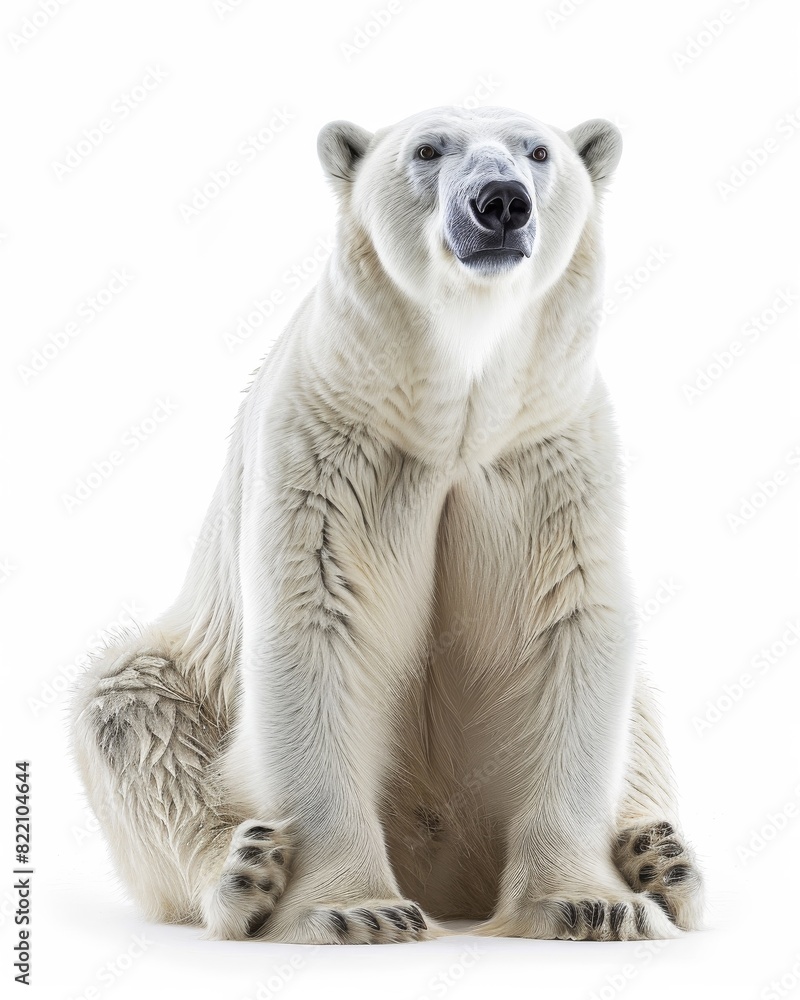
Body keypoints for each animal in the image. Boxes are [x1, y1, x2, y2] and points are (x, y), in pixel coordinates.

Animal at [70, 105, 704, 944]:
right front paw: (355, 910)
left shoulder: (547, 456)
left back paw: (661, 858)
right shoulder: (332, 448)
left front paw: (589, 904)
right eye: (428, 149)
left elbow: (564, 629)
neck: (454, 408)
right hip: (184, 678)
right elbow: (320, 626)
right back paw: (245, 871)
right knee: (135, 723)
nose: (501, 202)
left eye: (539, 151)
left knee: (642, 718)